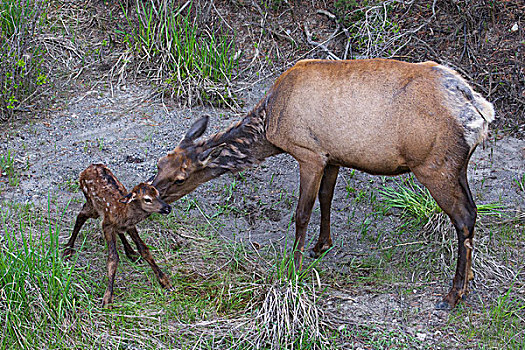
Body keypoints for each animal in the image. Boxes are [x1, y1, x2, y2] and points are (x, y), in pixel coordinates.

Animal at [62, 163, 171, 306]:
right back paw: (68, 249)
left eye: (157, 193)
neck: (123, 213)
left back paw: (131, 253)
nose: (167, 208)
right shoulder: (106, 224)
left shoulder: (129, 226)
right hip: (92, 203)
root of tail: (88, 168)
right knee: (81, 215)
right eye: (147, 199)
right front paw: (108, 297)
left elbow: (144, 250)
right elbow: (113, 258)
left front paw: (164, 280)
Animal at [149, 59, 494, 308]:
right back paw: (469, 281)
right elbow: (326, 198)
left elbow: (302, 213)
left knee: (463, 217)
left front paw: (294, 264)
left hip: (433, 165)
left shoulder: (309, 153)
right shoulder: (333, 155)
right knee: (473, 212)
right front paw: (321, 245)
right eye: (159, 164)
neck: (270, 124)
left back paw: (453, 295)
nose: (153, 197)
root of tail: (478, 110)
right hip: (456, 166)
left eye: (180, 177)